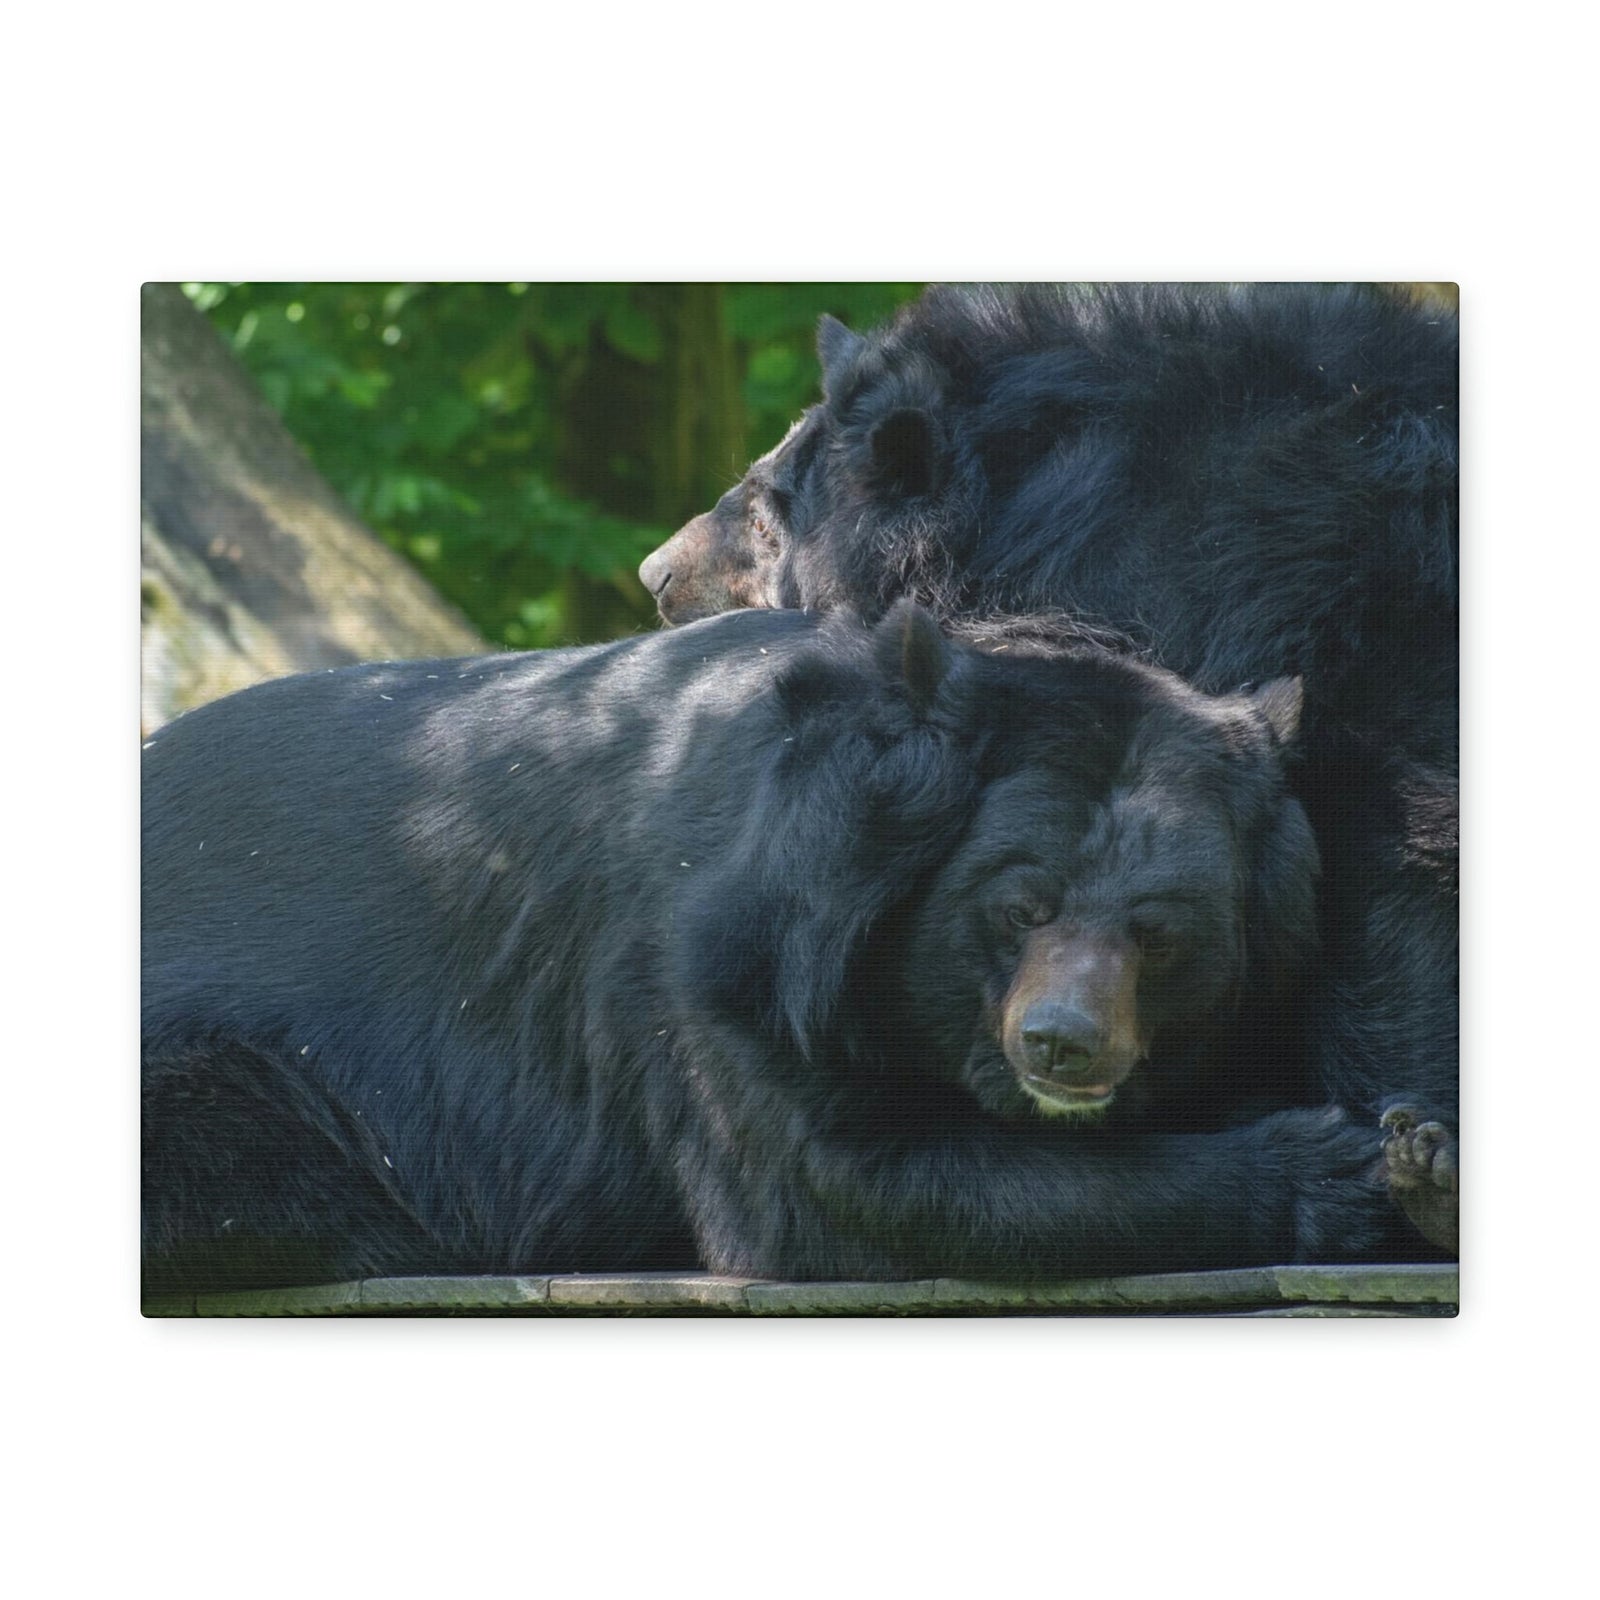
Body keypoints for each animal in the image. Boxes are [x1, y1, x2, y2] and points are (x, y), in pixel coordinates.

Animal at [142, 603, 1392, 1296]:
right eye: (1018, 906)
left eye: (1159, 934)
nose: (1062, 1045)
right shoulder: (713, 958)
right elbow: (836, 1185)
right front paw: (1332, 1168)